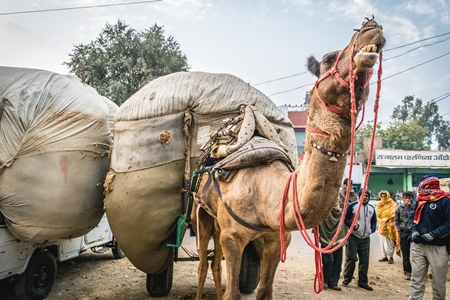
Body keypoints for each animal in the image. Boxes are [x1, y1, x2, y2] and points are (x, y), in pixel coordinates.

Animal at [192, 19, 384, 300]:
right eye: (328, 59)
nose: (371, 27)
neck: (264, 193)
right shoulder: (232, 237)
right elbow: (233, 293)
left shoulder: (275, 239)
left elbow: (264, 291)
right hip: (203, 215)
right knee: (204, 263)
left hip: (218, 221)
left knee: (215, 261)